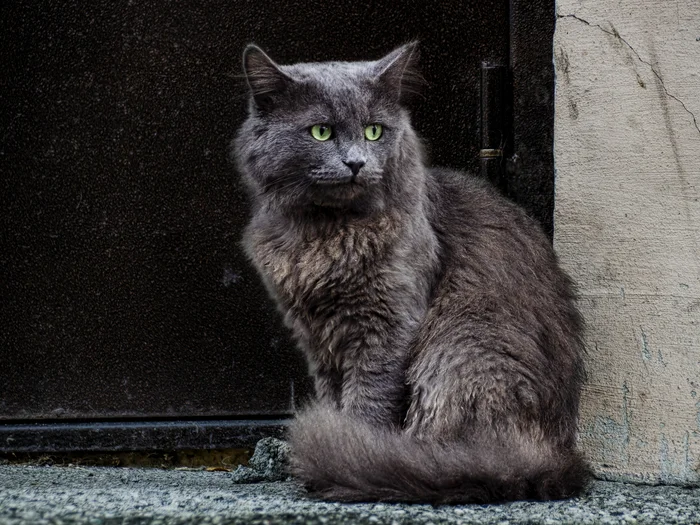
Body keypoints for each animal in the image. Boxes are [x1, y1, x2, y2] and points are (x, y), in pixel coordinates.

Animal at [235, 43, 592, 502]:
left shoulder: (387, 325)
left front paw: (350, 449)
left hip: (459, 347)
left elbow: (367, 400)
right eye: (321, 132)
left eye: (374, 131)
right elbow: (333, 396)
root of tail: (557, 454)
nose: (356, 162)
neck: (324, 233)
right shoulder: (316, 336)